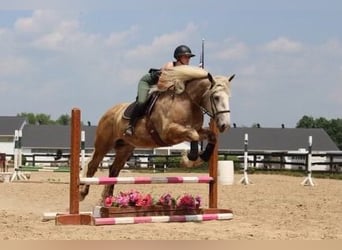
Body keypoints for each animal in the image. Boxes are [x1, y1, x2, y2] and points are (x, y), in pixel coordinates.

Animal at [80, 65, 234, 202]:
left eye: (229, 97)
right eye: (216, 97)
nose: (224, 125)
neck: (188, 102)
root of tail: (109, 112)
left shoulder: (197, 130)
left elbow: (209, 136)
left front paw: (202, 157)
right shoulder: (169, 132)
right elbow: (193, 134)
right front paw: (189, 159)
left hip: (125, 147)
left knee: (114, 170)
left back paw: (107, 198)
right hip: (103, 144)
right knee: (93, 165)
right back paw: (83, 193)